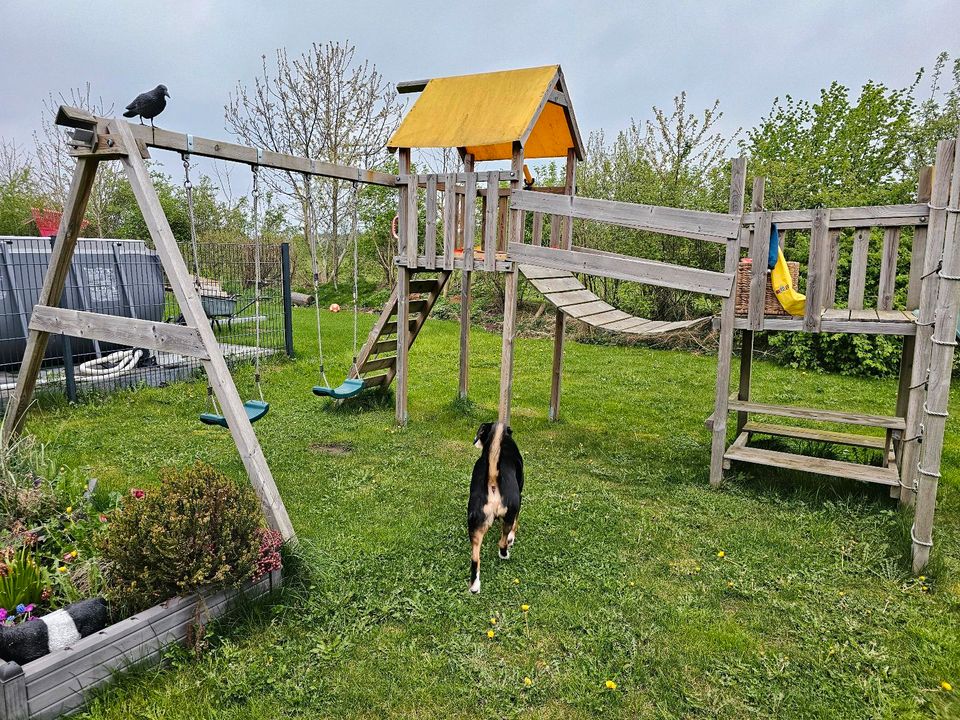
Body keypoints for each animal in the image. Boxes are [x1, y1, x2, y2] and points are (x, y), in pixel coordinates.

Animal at [466, 420, 524, 592]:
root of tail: (492, 481)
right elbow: (515, 526)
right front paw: (512, 538)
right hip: (510, 512)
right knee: (502, 541)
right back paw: (504, 554)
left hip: (475, 524)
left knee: (475, 559)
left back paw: (475, 587)